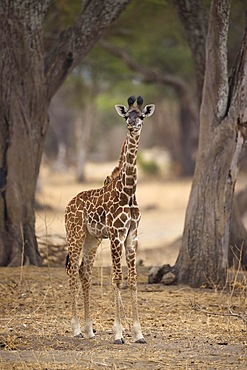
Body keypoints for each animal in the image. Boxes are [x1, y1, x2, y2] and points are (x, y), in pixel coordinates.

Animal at [64, 95, 155, 344]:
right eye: (126, 116)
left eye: (141, 115)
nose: (133, 125)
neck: (129, 192)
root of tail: (68, 205)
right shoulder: (116, 235)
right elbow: (117, 278)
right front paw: (118, 333)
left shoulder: (132, 236)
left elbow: (132, 278)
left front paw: (138, 333)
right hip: (75, 234)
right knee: (72, 270)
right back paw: (76, 329)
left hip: (92, 239)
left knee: (84, 272)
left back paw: (89, 330)